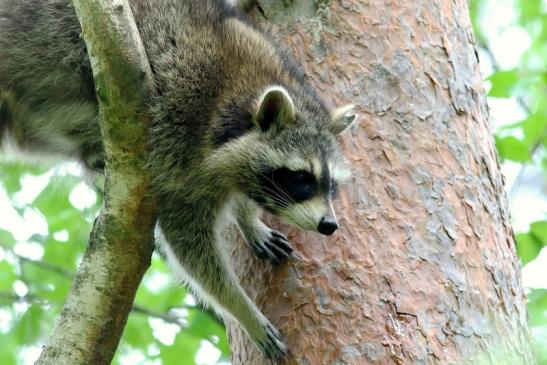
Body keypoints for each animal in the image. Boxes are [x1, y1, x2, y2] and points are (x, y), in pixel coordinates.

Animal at [0, 0, 358, 358]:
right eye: (301, 178)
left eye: (331, 184)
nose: (330, 225)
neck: (240, 87)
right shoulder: (177, 129)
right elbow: (190, 246)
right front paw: (242, 309)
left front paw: (248, 219)